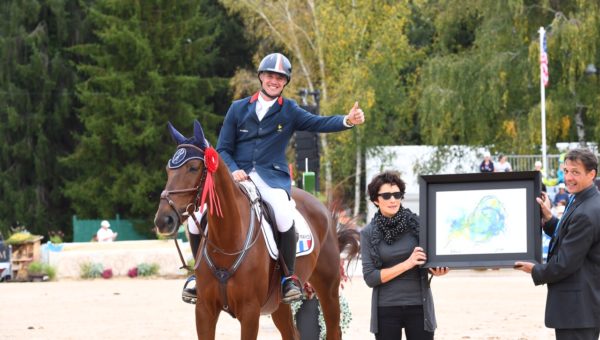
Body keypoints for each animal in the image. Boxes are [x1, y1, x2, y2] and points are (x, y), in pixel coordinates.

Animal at [155, 121, 360, 340]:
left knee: (333, 329)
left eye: (193, 168)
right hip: (279, 304)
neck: (227, 240)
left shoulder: (250, 312)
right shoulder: (204, 309)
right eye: (168, 169)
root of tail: (322, 207)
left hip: (328, 288)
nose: (163, 220)